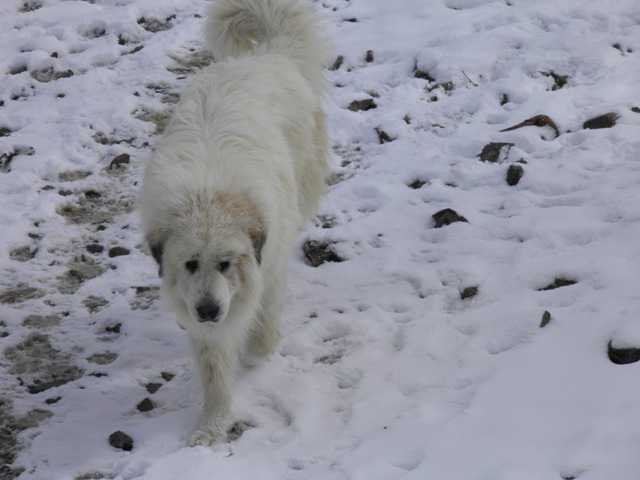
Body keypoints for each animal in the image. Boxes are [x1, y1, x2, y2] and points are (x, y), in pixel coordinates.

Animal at [140, 0, 330, 446]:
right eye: (190, 264)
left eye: (226, 263)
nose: (208, 311)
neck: (207, 195)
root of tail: (269, 55)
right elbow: (214, 372)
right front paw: (210, 429)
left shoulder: (269, 265)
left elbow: (262, 326)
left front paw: (255, 352)